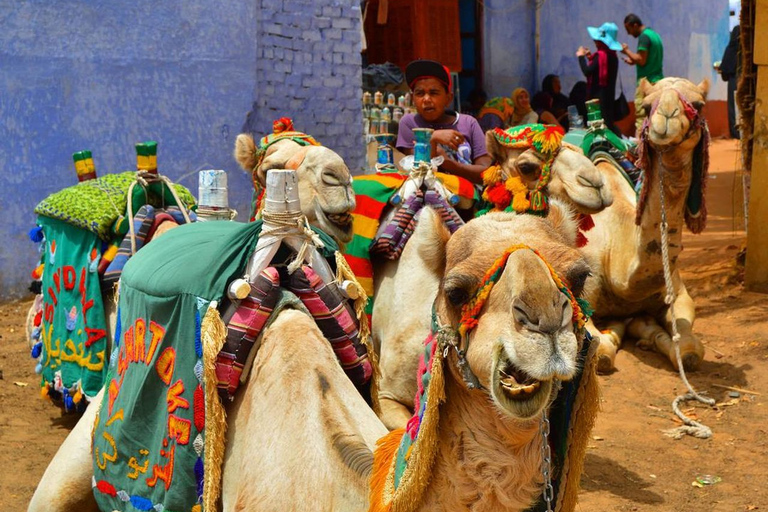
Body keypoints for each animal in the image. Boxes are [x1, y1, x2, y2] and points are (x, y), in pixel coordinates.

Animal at [584, 76, 712, 372]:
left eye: (699, 104)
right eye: (645, 105)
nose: (666, 117)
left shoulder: (678, 293)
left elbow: (690, 350)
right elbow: (600, 352)